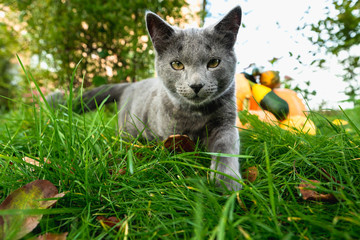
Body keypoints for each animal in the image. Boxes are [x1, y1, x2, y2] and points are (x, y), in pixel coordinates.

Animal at [67, 6, 242, 191]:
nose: (196, 85)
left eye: (214, 62)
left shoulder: (226, 121)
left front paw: (227, 180)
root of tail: (130, 85)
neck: (196, 114)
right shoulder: (171, 133)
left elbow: (226, 145)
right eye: (177, 64)